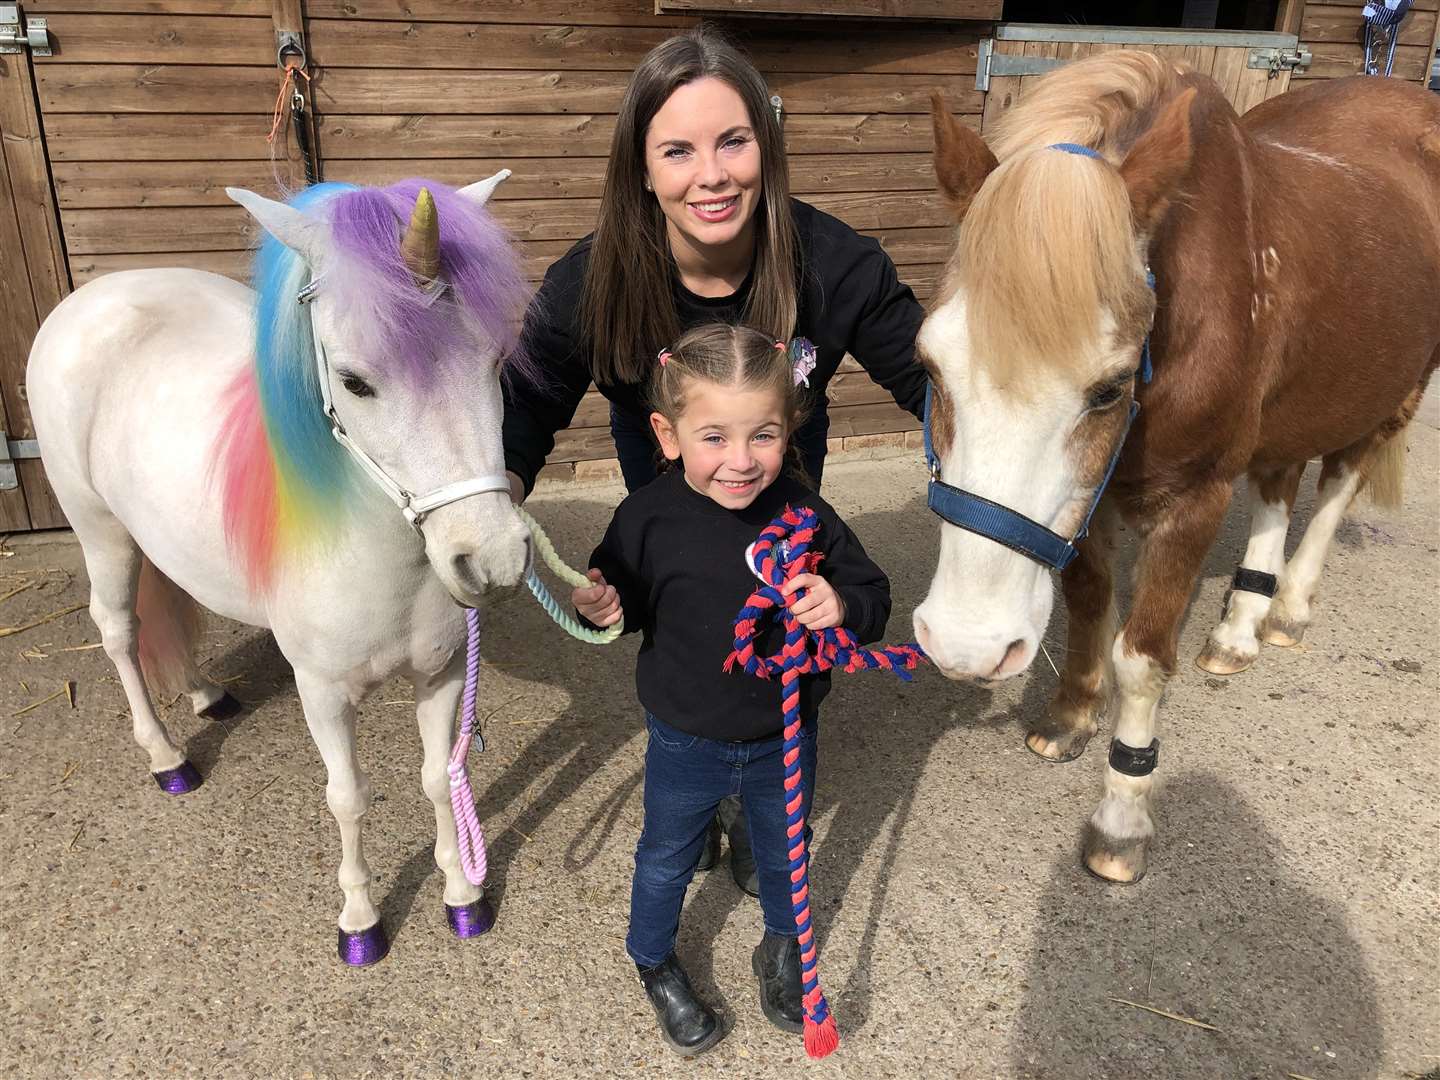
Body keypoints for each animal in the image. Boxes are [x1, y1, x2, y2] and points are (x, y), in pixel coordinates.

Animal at [28, 173, 532, 967]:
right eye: (355, 382)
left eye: (495, 360)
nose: (493, 558)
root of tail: (92, 298)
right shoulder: (321, 693)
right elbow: (349, 797)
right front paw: (359, 922)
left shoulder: (443, 673)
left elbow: (437, 778)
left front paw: (462, 897)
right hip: (99, 530)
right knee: (117, 630)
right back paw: (166, 758)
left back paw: (205, 693)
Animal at [915, 50, 1434, 881]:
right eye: (929, 365)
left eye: (1109, 387)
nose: (968, 647)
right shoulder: (1090, 502)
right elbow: (1089, 599)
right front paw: (1072, 716)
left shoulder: (1194, 498)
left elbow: (1142, 658)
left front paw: (1122, 816)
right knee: (1279, 484)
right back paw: (1238, 630)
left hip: (1396, 391)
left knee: (1336, 487)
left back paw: (1288, 610)